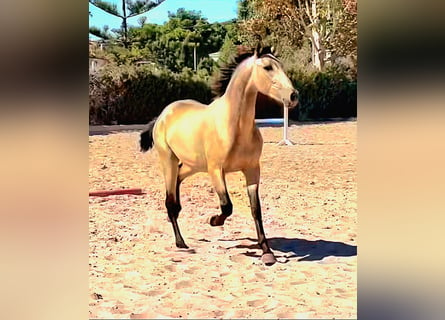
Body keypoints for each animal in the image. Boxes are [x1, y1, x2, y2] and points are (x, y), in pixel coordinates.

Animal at [140, 44, 296, 264]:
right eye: (267, 67)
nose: (293, 96)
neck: (235, 126)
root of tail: (163, 115)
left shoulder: (252, 170)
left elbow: (256, 210)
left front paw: (267, 252)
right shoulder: (216, 170)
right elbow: (227, 205)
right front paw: (213, 220)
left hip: (193, 165)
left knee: (178, 184)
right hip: (168, 160)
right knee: (170, 201)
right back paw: (181, 243)